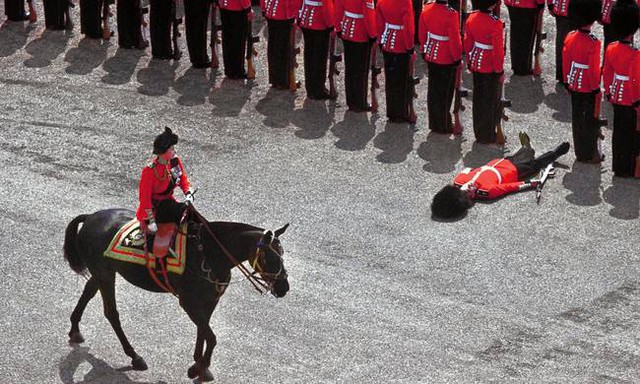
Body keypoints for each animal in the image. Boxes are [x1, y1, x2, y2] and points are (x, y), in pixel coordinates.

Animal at [61, 208, 292, 382]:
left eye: (282, 254)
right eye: (270, 257)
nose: (284, 288)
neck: (208, 253)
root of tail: (90, 217)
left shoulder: (209, 302)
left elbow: (203, 332)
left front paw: (198, 364)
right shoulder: (188, 303)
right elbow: (211, 336)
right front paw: (200, 368)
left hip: (103, 273)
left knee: (89, 292)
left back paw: (75, 329)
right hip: (106, 275)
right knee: (111, 313)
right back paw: (134, 356)